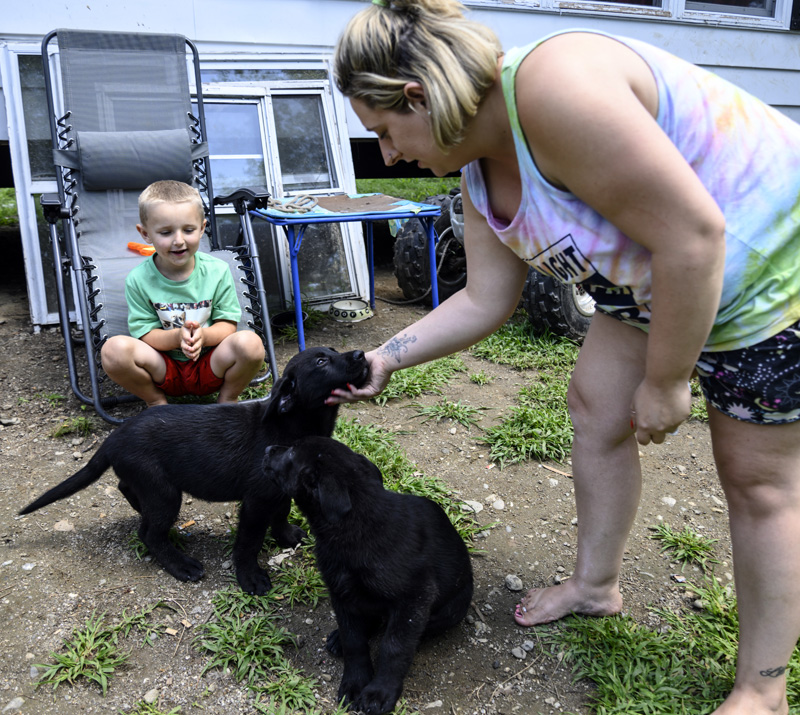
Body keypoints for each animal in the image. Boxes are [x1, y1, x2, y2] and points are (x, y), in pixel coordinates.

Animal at [18, 350, 368, 596]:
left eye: (333, 351)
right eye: (322, 361)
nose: (361, 355)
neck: (289, 423)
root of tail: (114, 437)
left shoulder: (278, 489)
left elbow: (280, 514)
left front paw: (287, 537)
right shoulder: (256, 502)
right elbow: (248, 542)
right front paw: (250, 578)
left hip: (153, 485)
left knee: (127, 490)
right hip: (164, 492)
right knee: (148, 533)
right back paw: (180, 565)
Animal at [262, 436, 476, 715]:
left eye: (290, 454)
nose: (267, 449)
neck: (357, 526)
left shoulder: (414, 600)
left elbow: (394, 647)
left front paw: (380, 691)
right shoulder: (341, 594)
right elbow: (354, 641)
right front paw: (355, 682)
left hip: (451, 609)